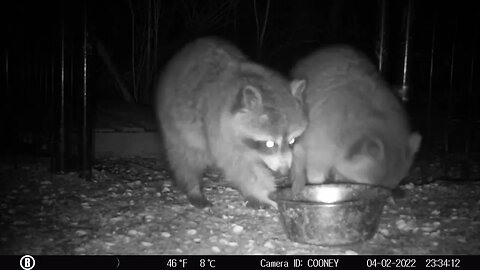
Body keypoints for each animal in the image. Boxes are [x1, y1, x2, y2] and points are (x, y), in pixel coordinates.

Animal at [158, 37, 308, 208]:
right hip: (174, 126)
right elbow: (241, 167)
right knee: (185, 158)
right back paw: (193, 188)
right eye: (269, 143)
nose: (283, 171)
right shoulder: (218, 131)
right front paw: (260, 194)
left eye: (292, 141)